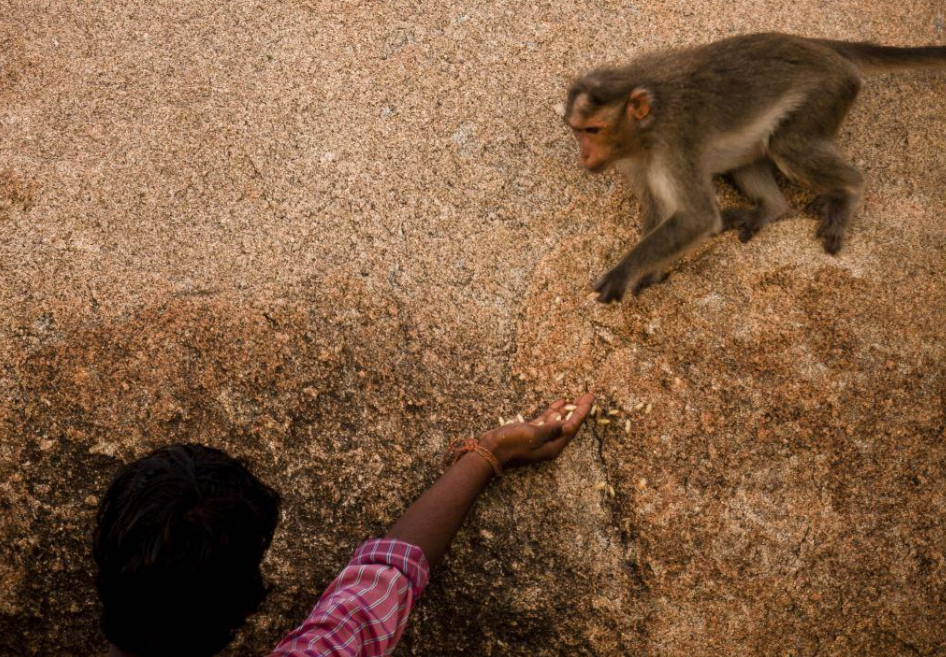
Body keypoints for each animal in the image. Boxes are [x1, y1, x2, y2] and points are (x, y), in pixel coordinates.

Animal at [564, 32, 944, 302]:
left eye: (592, 130)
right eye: (577, 131)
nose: (584, 156)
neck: (648, 125)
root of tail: (818, 46)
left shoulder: (675, 142)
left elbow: (697, 217)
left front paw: (623, 273)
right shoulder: (638, 162)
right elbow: (660, 210)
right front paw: (648, 273)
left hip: (829, 91)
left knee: (787, 146)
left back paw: (849, 191)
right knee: (752, 157)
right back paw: (770, 208)